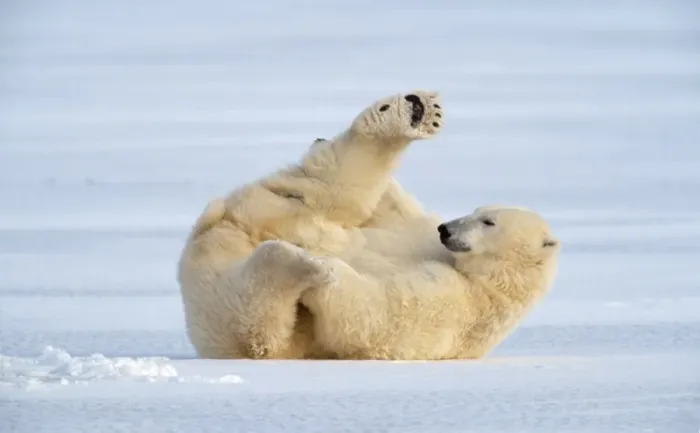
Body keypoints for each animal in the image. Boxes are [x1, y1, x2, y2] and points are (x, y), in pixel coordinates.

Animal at [300, 205, 561, 360]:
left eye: (488, 221)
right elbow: (399, 217)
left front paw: (321, 264)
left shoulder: (454, 300)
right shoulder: (426, 243)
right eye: (475, 211)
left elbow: (375, 316)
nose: (445, 229)